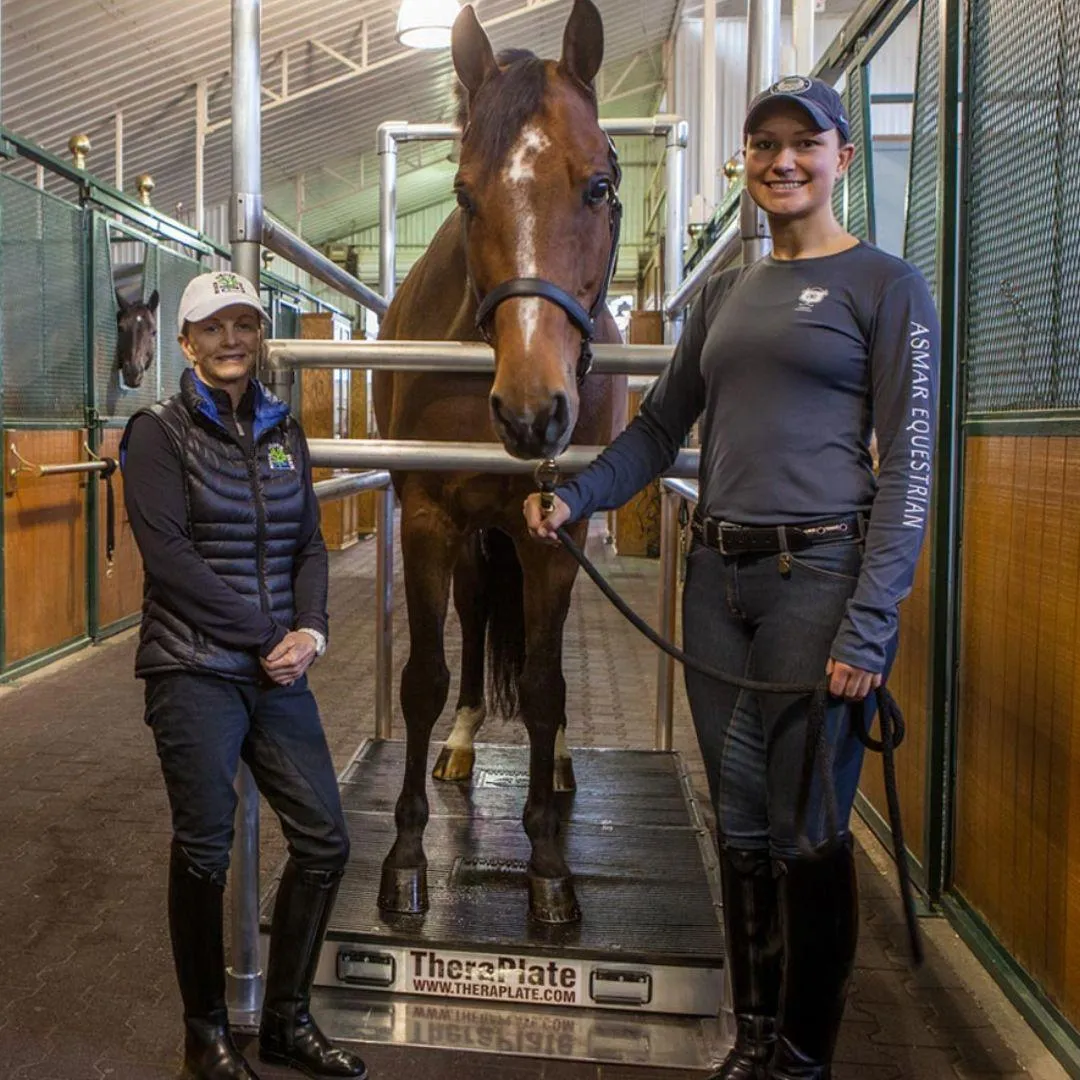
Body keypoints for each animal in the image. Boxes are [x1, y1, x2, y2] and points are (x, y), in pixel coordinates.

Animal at [373, 2, 626, 928]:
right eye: (463, 196)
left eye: (599, 186)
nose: (530, 411)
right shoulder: (429, 518)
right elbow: (423, 677)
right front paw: (406, 857)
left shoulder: (552, 536)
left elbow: (549, 686)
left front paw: (549, 864)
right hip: (478, 539)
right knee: (479, 620)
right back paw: (459, 741)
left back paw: (559, 768)